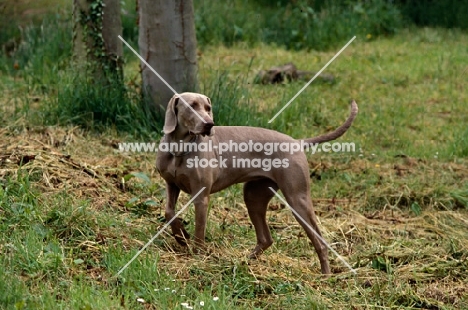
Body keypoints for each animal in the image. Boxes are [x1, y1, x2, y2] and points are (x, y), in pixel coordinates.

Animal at [157, 92, 358, 274]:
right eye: (191, 106)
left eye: (208, 108)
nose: (209, 124)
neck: (180, 149)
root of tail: (297, 142)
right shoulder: (171, 185)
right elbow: (169, 212)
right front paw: (181, 236)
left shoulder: (201, 196)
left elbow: (199, 231)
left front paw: (197, 258)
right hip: (254, 195)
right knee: (266, 238)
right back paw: (243, 262)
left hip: (297, 198)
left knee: (319, 241)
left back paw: (326, 275)